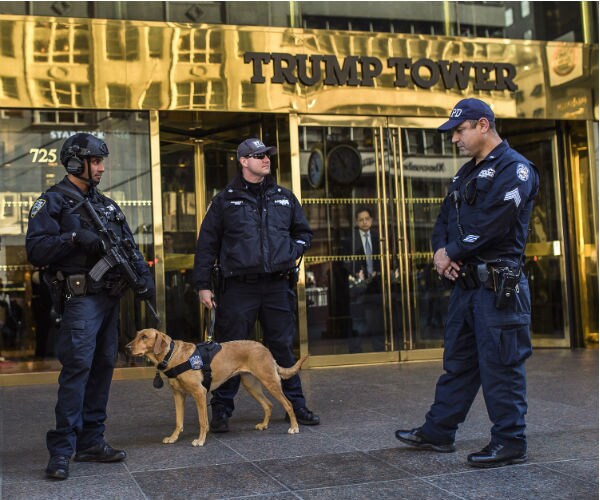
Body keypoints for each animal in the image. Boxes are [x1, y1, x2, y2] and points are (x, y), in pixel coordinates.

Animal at [125, 330, 308, 448]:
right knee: (268, 405)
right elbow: (179, 421)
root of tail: (264, 348)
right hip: (251, 385)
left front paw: (200, 440)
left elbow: (202, 420)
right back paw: (264, 425)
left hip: (270, 382)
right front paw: (173, 437)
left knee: (288, 404)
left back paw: (294, 427)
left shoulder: (199, 393)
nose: (127, 347)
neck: (172, 355)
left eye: (144, 337)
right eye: (136, 335)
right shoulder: (178, 394)